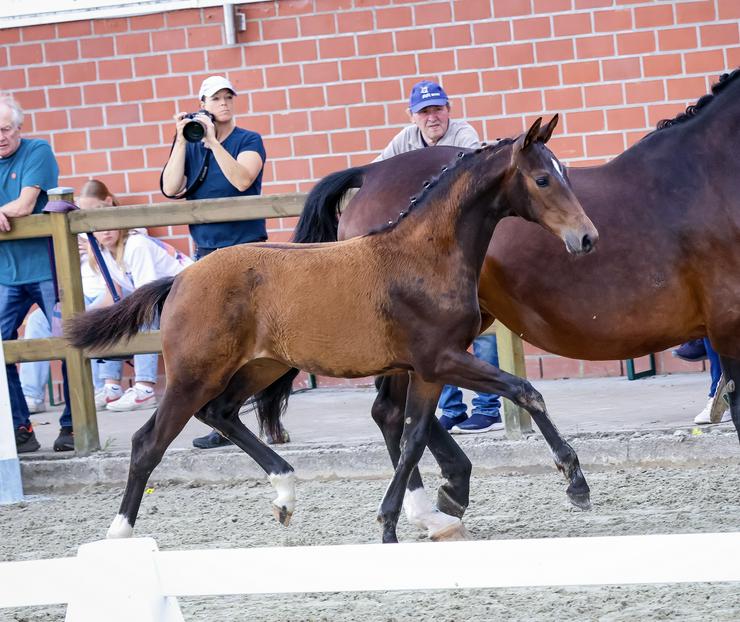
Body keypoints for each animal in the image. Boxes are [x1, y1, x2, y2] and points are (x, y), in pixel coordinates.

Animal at [66, 118, 600, 544]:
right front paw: (575, 481)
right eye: (543, 178)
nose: (586, 237)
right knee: (148, 443)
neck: (424, 255)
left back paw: (285, 493)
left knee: (221, 413)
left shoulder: (427, 368)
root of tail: (179, 279)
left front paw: (395, 522)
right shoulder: (442, 359)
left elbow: (412, 436)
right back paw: (119, 536)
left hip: (262, 366)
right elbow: (524, 390)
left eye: (564, 173)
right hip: (195, 374)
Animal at [278, 69, 740, 536]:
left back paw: (447, 496)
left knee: (395, 413)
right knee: (391, 412)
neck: (707, 178)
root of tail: (371, 172)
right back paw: (434, 507)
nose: (586, 237)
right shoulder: (728, 326)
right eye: (543, 180)